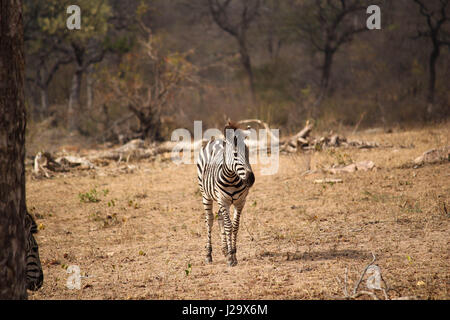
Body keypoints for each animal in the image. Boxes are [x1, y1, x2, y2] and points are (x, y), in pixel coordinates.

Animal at [196, 121, 255, 266]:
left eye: (247, 153)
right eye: (235, 154)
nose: (251, 179)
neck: (232, 178)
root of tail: (215, 140)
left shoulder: (240, 202)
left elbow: (235, 226)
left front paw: (232, 253)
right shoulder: (223, 201)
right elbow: (228, 226)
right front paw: (230, 257)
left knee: (220, 217)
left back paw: (224, 249)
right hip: (206, 195)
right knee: (210, 220)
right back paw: (208, 254)